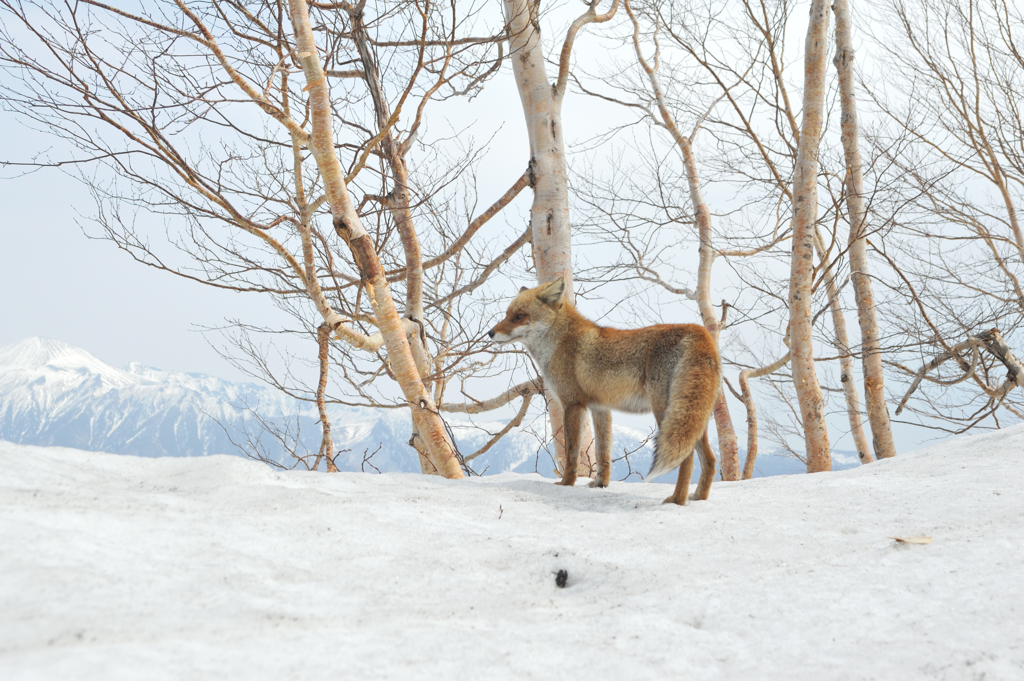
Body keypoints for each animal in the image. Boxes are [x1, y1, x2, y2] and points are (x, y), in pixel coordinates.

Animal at [487, 278, 720, 503]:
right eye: (507, 314)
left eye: (519, 316)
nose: (490, 333)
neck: (560, 342)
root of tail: (699, 331)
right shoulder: (600, 407)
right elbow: (602, 452)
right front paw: (601, 484)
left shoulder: (573, 403)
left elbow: (572, 452)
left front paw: (566, 484)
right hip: (691, 416)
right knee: (710, 459)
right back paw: (699, 497)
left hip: (666, 413)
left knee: (688, 458)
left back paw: (677, 500)